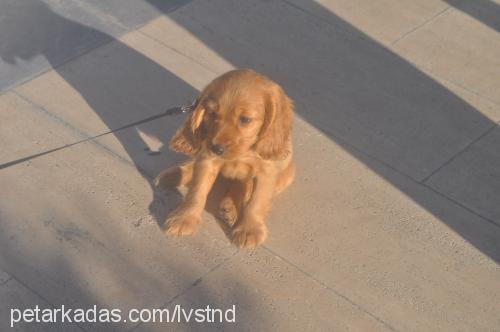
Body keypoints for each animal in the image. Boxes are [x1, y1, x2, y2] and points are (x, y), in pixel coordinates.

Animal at [154, 68, 294, 248]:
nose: (216, 148)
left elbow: (257, 201)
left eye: (245, 119)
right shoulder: (207, 159)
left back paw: (230, 207)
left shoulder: (267, 171)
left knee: (244, 186)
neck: (243, 152)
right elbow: (198, 190)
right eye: (212, 114)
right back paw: (173, 176)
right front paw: (185, 218)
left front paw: (249, 230)